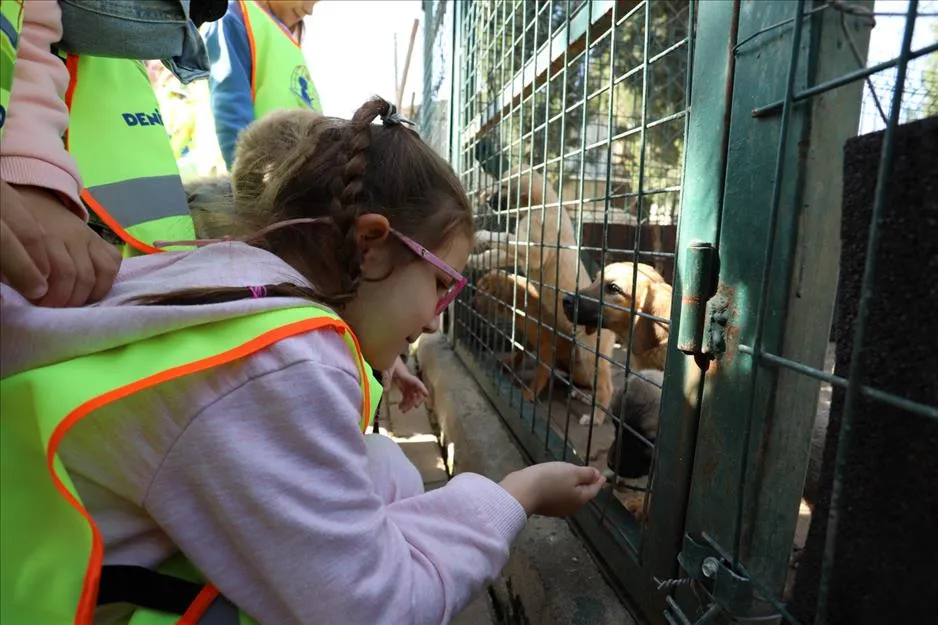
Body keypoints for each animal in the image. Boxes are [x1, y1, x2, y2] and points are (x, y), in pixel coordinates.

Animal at [466, 168, 616, 426]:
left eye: (502, 186)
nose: (487, 201)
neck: (540, 204)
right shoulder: (516, 254)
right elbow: (492, 254)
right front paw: (472, 259)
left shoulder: (533, 250)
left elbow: (503, 238)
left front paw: (482, 235)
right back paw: (584, 398)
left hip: (589, 352)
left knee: (607, 387)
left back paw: (595, 417)